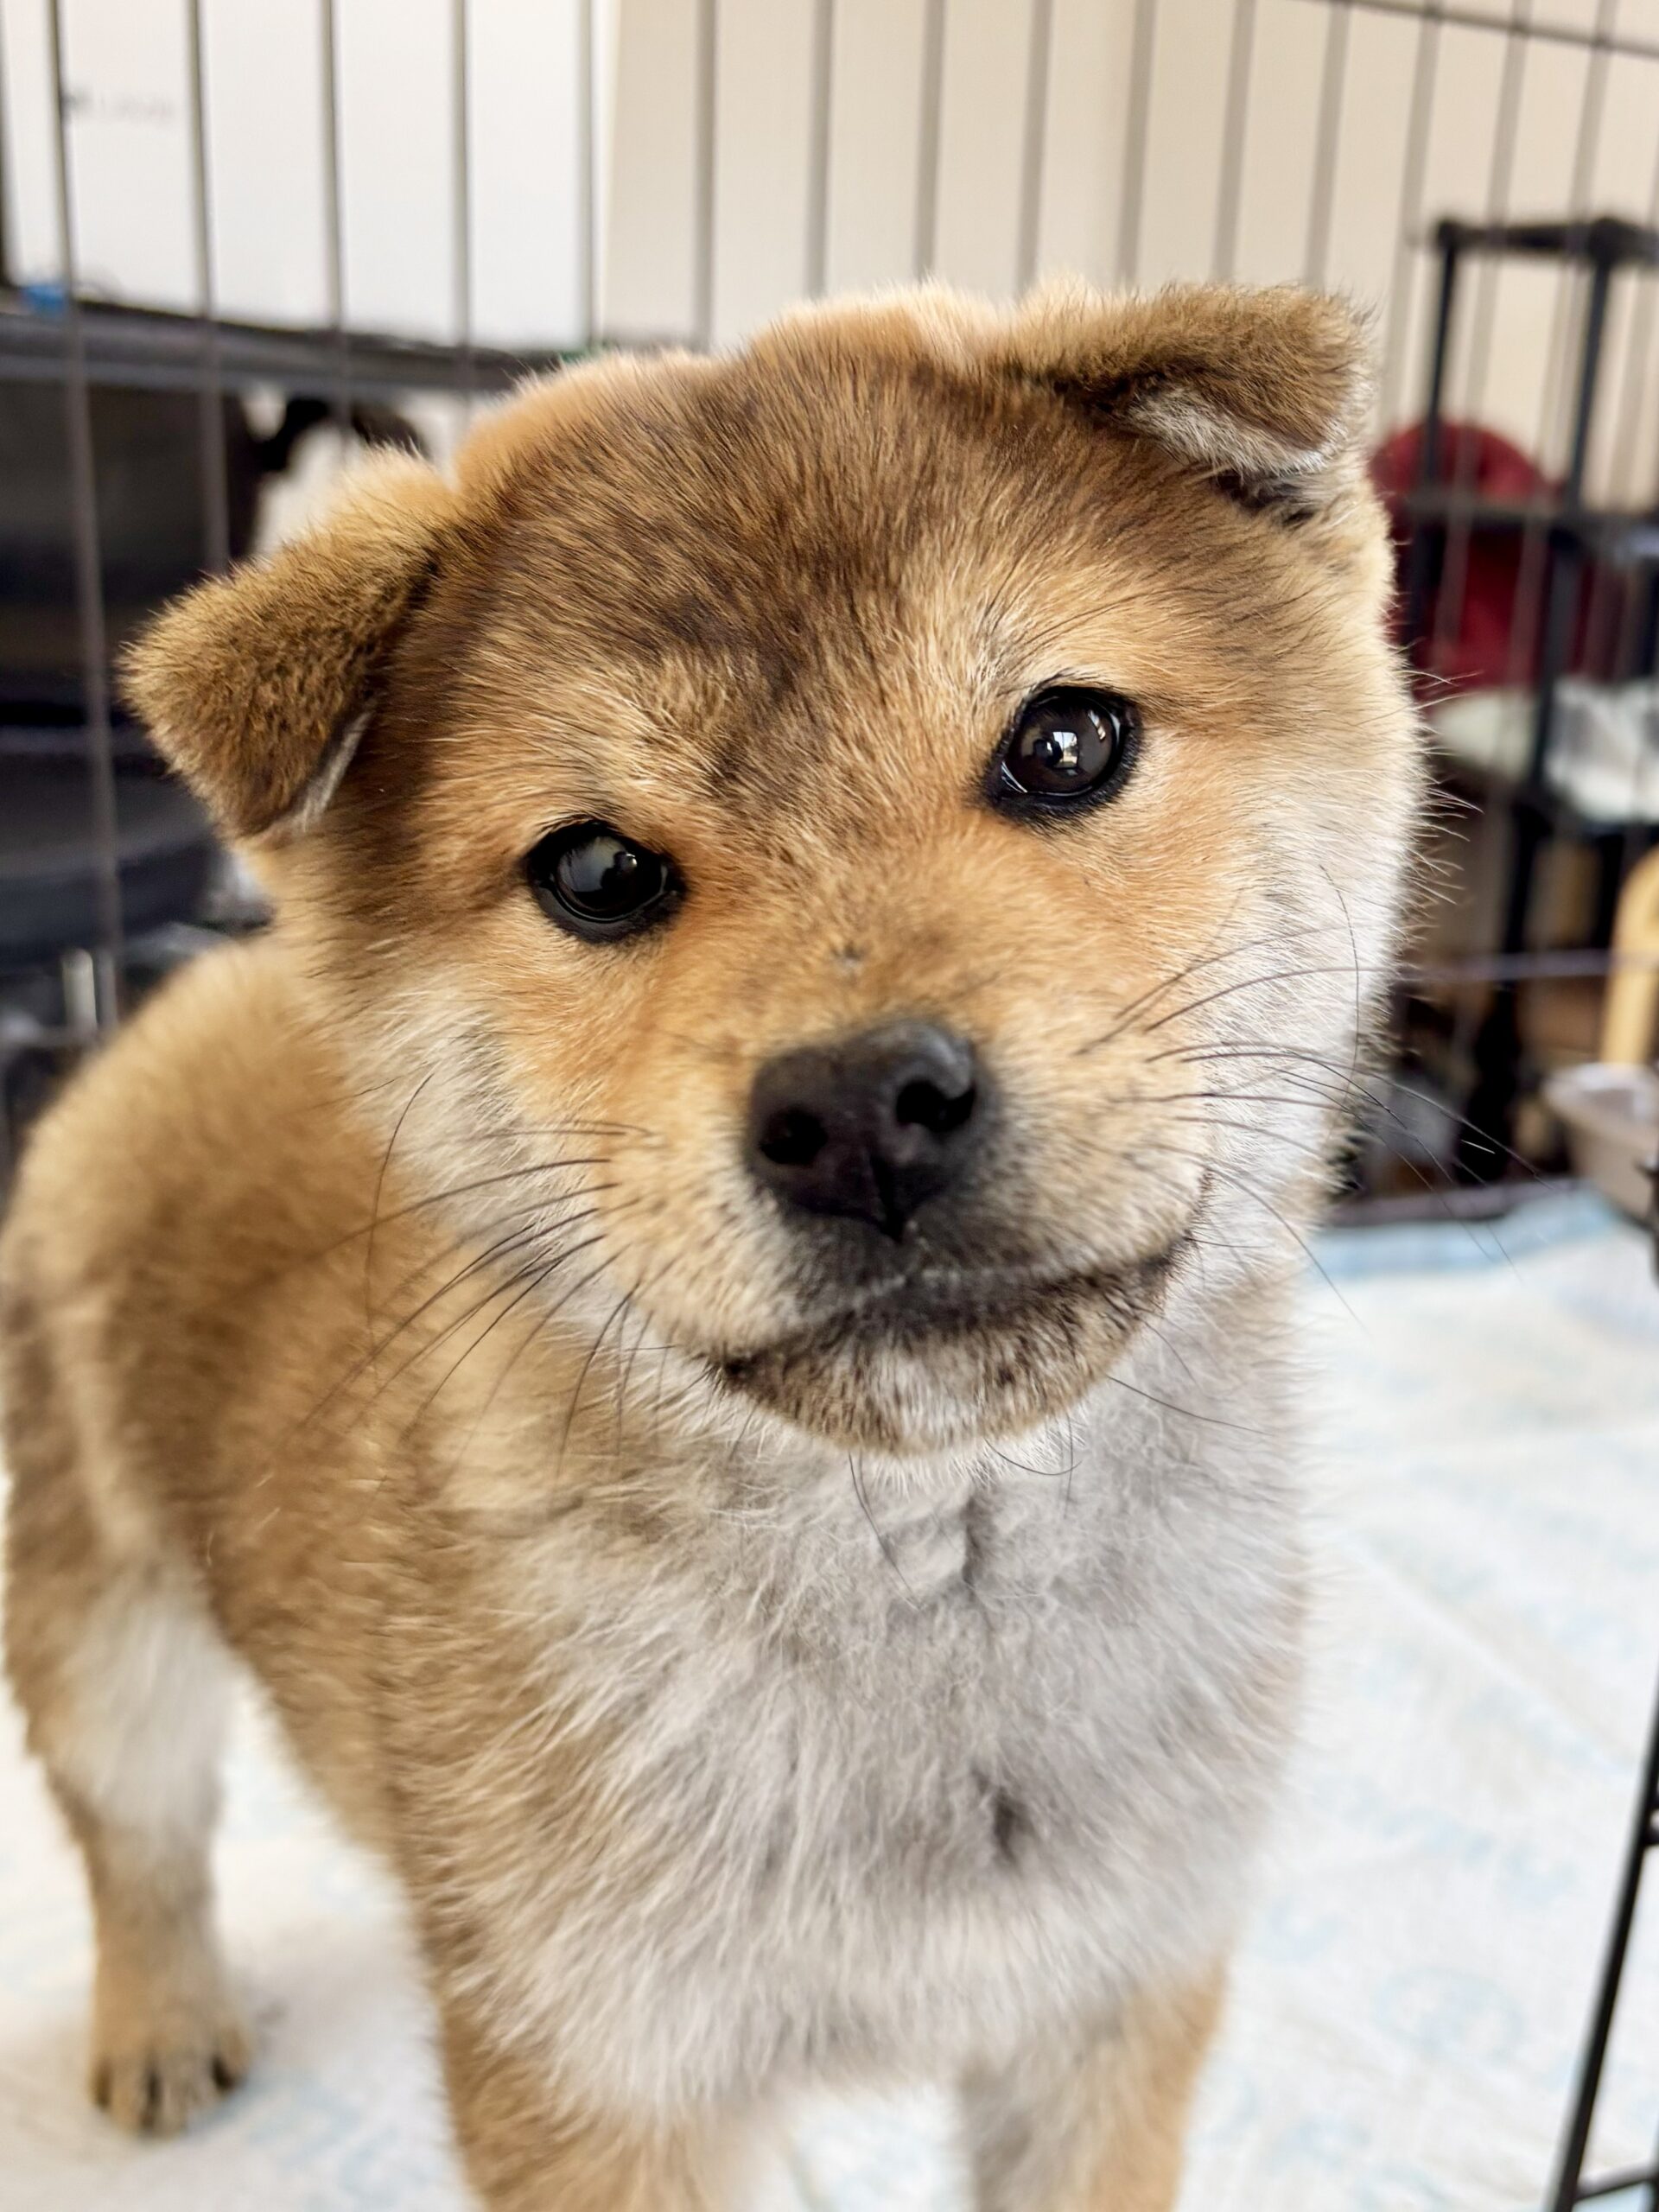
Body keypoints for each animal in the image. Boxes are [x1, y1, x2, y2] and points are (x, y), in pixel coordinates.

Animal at [2, 280, 1419, 2210]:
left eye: (1066, 743)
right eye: (597, 870)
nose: (863, 1106)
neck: (934, 1600)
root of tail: (182, 996)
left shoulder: (1109, 2013)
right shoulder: (603, 2071)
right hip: (104, 1621)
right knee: (135, 1834)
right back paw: (159, 2016)